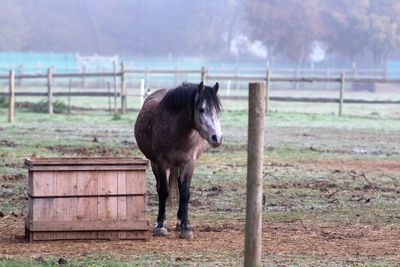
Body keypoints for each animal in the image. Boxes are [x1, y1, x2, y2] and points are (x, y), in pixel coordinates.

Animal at [134, 81, 222, 241]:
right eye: (201, 109)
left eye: (218, 110)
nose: (217, 138)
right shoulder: (161, 163)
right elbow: (163, 191)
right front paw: (160, 226)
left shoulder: (189, 164)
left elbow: (185, 193)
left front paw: (186, 228)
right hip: (156, 164)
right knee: (160, 188)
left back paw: (180, 222)